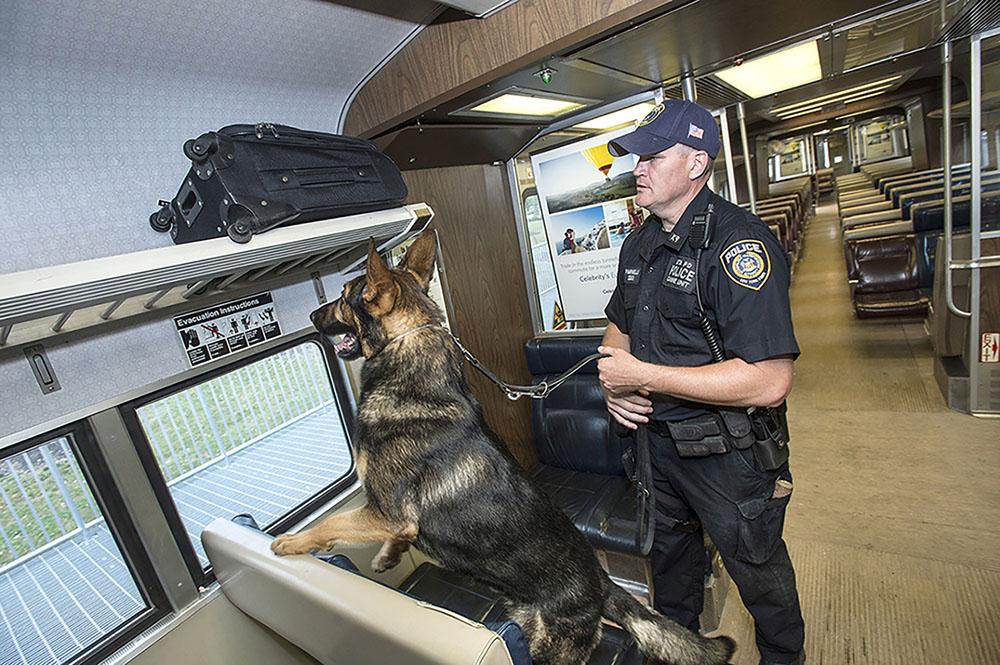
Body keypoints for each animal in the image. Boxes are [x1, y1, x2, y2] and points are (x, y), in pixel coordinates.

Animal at [272, 230, 736, 664]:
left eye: (342, 298)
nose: (311, 314)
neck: (408, 350)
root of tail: (603, 585)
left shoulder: (386, 512)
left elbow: (332, 523)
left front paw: (291, 543)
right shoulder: (390, 518)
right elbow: (381, 533)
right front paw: (388, 555)